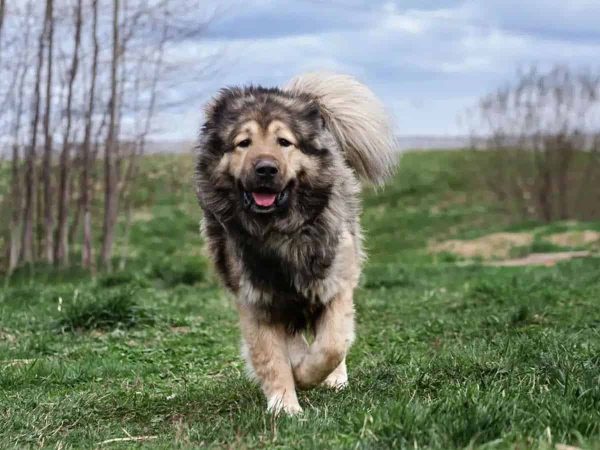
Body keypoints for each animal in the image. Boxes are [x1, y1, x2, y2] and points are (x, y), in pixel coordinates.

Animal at [195, 73, 396, 414]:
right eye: (243, 143)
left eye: (284, 142)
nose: (265, 169)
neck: (279, 231)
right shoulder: (256, 299)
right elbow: (271, 358)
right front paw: (284, 406)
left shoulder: (335, 284)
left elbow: (332, 345)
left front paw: (307, 375)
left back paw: (334, 378)